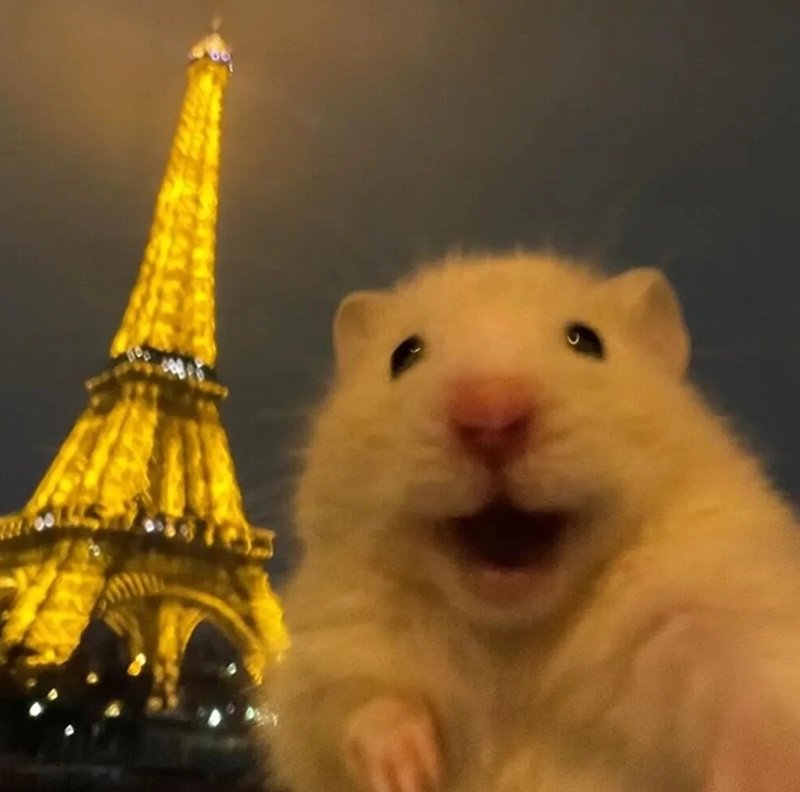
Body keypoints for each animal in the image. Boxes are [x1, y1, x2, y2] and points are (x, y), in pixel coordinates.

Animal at [265, 251, 800, 792]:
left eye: (587, 340)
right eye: (403, 355)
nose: (490, 417)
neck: (514, 637)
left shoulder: (709, 619)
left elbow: (752, 709)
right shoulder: (328, 651)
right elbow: (361, 706)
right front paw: (407, 771)